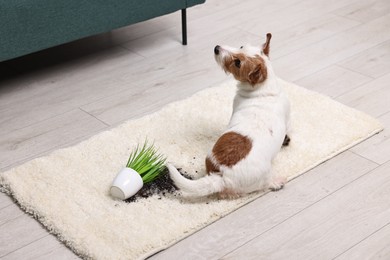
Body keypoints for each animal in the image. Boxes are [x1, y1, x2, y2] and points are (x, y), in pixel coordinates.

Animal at [167, 33, 290, 198]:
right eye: (241, 46)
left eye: (237, 63)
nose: (216, 48)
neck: (262, 89)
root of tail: (222, 177)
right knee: (264, 185)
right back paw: (277, 182)